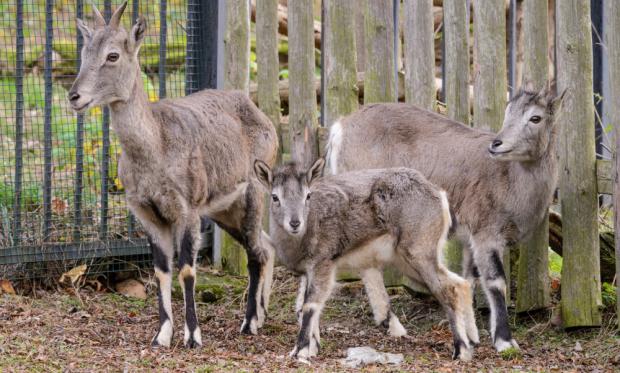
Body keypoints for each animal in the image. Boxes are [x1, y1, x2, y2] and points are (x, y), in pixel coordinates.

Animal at [68, 2, 278, 346]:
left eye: (113, 55)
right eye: (84, 53)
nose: (75, 96)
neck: (156, 148)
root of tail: (258, 111)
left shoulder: (187, 209)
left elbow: (186, 270)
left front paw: (192, 336)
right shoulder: (147, 213)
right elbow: (161, 271)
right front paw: (161, 335)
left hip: (253, 194)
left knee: (255, 253)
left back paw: (248, 322)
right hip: (223, 210)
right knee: (267, 245)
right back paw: (261, 315)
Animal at [254, 158, 478, 360]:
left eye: (308, 195)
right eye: (275, 197)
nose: (295, 223)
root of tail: (440, 196)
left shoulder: (324, 262)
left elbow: (310, 305)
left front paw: (300, 351)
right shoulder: (307, 271)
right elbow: (301, 307)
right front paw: (313, 347)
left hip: (419, 252)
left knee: (447, 288)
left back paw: (461, 350)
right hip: (410, 260)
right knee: (461, 283)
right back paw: (473, 339)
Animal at [330, 82, 568, 352]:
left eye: (535, 118)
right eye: (509, 112)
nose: (497, 144)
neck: (509, 181)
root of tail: (341, 128)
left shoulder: (471, 239)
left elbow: (470, 280)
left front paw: (473, 335)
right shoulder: (487, 234)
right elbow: (496, 283)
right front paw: (505, 341)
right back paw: (393, 324)